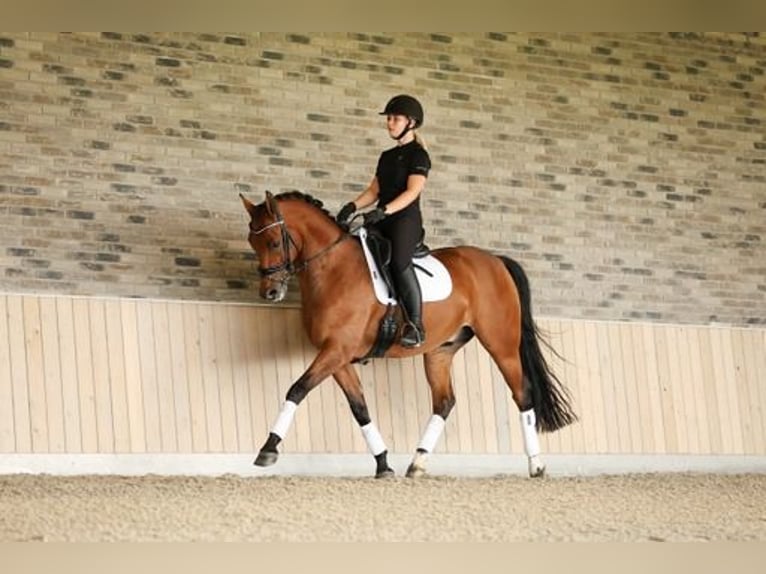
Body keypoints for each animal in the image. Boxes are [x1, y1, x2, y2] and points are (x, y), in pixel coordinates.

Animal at [240, 191, 576, 480]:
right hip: (440, 350)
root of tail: (495, 260)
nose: (269, 293)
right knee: (444, 402)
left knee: (522, 394)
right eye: (252, 242)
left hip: (501, 344)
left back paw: (536, 465)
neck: (334, 269)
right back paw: (417, 464)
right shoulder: (337, 355)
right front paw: (383, 463)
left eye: (273, 242)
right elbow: (359, 407)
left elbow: (297, 389)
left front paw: (268, 449)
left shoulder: (336, 350)